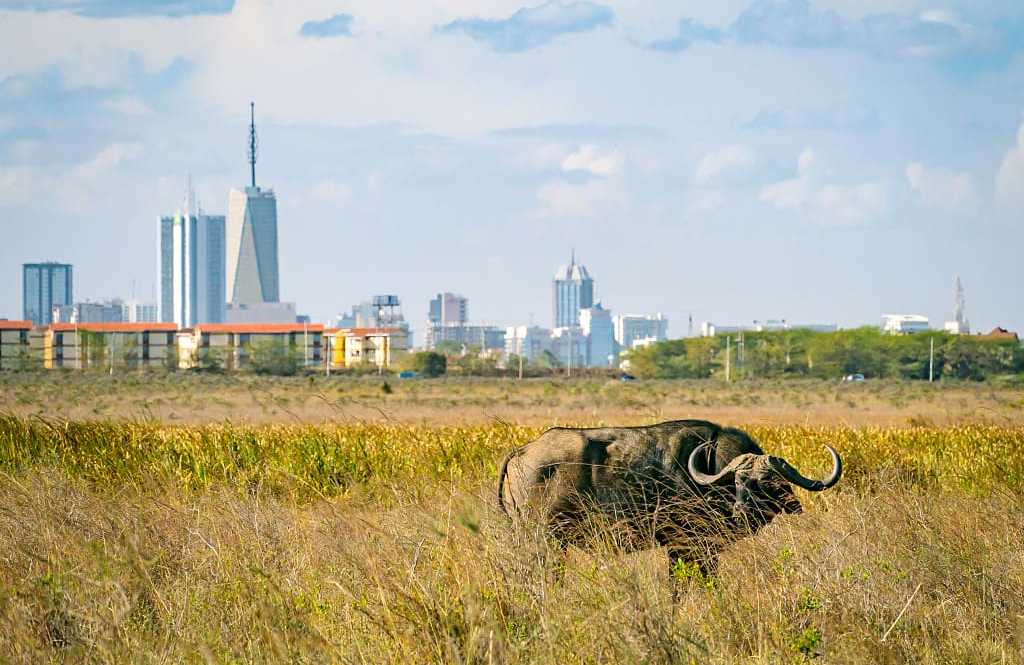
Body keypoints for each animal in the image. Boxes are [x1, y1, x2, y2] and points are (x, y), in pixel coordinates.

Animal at [498, 419, 841, 574]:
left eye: (768, 481)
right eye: (739, 481)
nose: (742, 510)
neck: (710, 469)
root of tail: (522, 451)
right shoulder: (685, 546)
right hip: (545, 540)